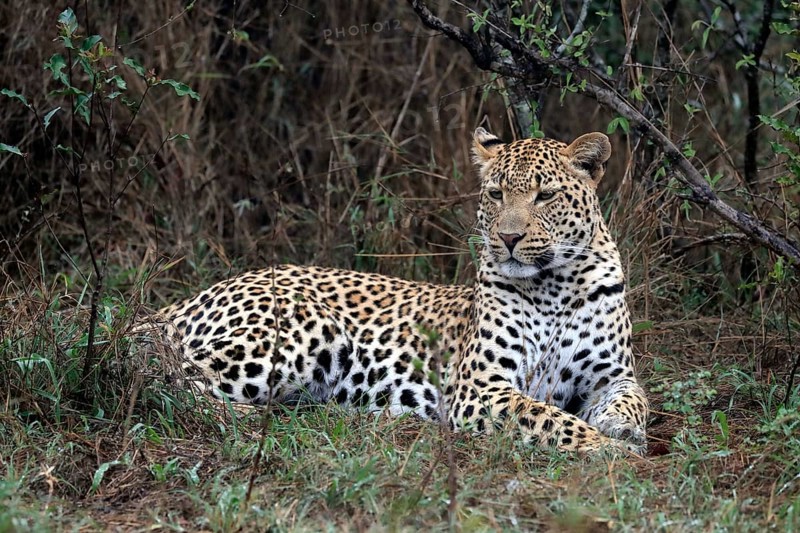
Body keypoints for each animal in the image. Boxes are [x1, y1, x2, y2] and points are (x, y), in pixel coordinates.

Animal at [144, 128, 649, 454]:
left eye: (546, 196)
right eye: (495, 194)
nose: (507, 238)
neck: (553, 286)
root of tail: (195, 295)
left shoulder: (612, 375)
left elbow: (634, 401)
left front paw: (622, 430)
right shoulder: (480, 387)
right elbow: (545, 416)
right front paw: (602, 445)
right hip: (304, 330)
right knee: (172, 378)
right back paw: (255, 417)